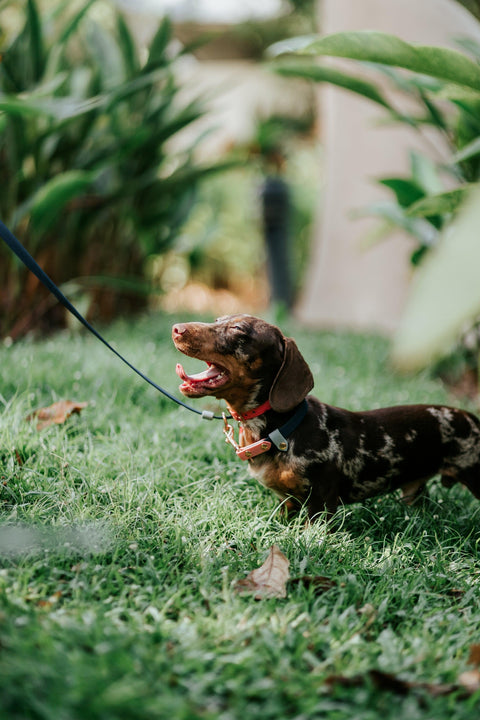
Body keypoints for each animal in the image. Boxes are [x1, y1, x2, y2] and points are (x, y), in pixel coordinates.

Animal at [172, 314, 480, 516]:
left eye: (237, 329)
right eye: (216, 319)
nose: (176, 328)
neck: (282, 431)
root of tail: (472, 418)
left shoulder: (320, 503)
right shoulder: (288, 502)